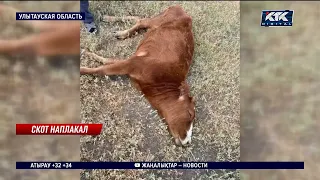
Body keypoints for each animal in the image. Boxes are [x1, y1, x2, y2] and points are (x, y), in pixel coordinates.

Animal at [80, 5, 195, 146]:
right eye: (190, 115)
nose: (188, 142)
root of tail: (182, 10)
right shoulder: (134, 63)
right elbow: (102, 70)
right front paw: (82, 66)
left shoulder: (131, 62)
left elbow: (108, 61)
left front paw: (88, 54)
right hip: (159, 20)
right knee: (142, 21)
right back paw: (117, 27)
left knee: (139, 19)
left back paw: (116, 27)